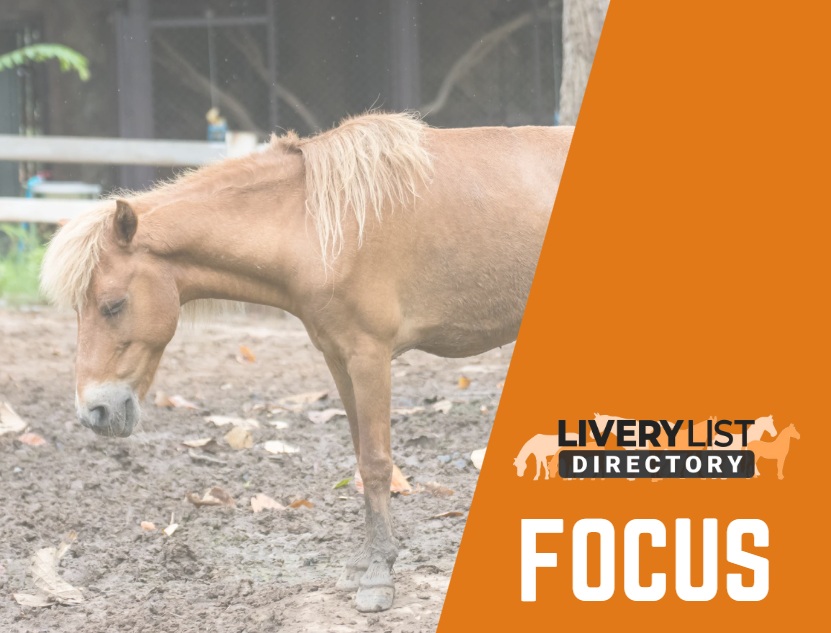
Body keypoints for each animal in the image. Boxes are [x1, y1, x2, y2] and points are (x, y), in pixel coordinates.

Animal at [39, 112, 573, 612]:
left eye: (112, 305)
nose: (95, 412)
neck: (311, 224)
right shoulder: (339, 359)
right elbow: (360, 456)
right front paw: (363, 563)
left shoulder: (369, 356)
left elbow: (376, 462)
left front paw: (378, 577)